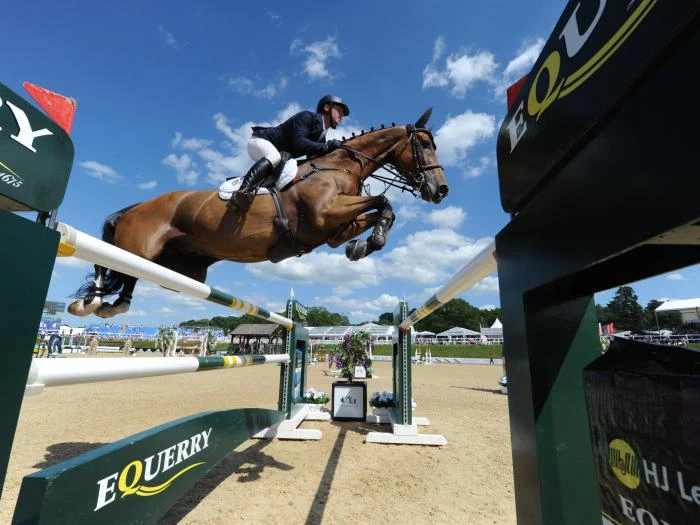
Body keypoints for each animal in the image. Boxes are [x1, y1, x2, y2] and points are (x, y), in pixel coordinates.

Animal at [69, 107, 448, 320]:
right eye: (424, 145)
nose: (441, 189)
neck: (342, 165)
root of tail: (136, 207)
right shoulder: (325, 214)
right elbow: (384, 203)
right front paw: (371, 242)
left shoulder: (333, 230)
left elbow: (380, 211)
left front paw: (362, 246)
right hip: (139, 243)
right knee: (111, 262)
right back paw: (92, 303)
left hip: (172, 263)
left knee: (127, 272)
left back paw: (110, 304)